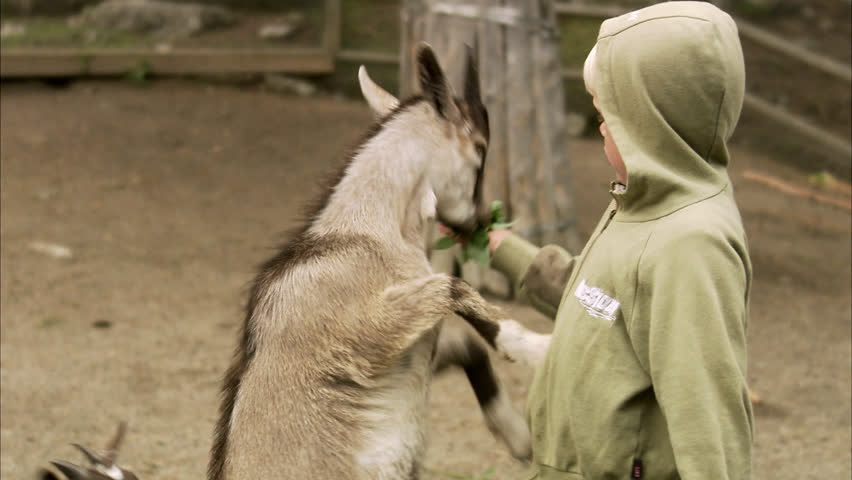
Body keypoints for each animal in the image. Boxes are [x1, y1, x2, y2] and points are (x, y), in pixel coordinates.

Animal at [208, 43, 530, 480]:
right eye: (480, 149)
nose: (481, 220)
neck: (362, 235)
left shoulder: (411, 351)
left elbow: (468, 347)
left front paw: (519, 438)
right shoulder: (364, 333)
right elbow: (452, 287)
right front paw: (521, 343)